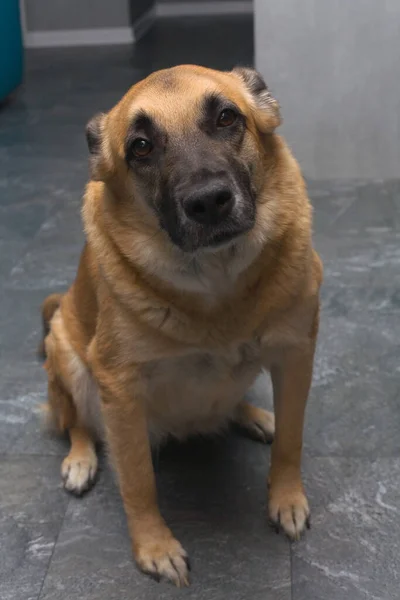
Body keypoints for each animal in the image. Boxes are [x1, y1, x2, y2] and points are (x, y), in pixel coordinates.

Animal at [40, 65, 322, 584]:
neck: (217, 282)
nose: (209, 202)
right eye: (140, 146)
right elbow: (138, 482)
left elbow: (291, 442)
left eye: (227, 118)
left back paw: (253, 416)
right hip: (65, 354)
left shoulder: (296, 355)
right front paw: (154, 547)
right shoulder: (121, 392)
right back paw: (81, 459)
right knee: (77, 422)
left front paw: (286, 498)